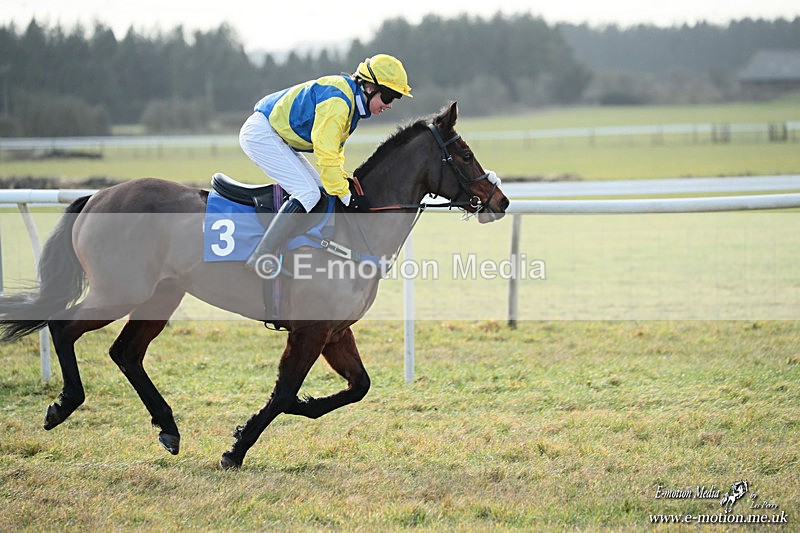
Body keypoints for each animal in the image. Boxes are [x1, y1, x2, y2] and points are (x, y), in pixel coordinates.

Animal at [0, 102, 508, 469]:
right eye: (465, 154)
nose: (500, 199)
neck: (353, 227)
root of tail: (96, 196)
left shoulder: (335, 331)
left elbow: (357, 387)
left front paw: (301, 407)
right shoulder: (309, 330)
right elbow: (283, 393)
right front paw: (237, 447)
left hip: (161, 295)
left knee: (126, 352)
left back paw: (168, 426)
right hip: (118, 291)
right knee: (63, 328)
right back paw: (64, 404)